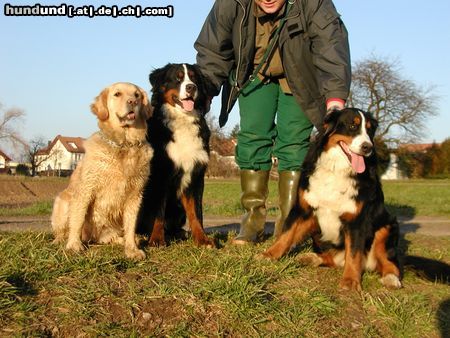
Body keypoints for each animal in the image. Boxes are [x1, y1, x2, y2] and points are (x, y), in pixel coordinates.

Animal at [137, 64, 214, 248]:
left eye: (194, 78)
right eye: (178, 78)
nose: (191, 87)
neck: (183, 120)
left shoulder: (196, 176)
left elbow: (196, 212)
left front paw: (202, 238)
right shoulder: (160, 174)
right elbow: (159, 211)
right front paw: (157, 239)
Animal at [260, 107, 400, 290]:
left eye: (370, 130)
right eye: (352, 126)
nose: (367, 147)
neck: (337, 170)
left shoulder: (356, 220)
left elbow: (353, 253)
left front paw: (350, 281)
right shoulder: (303, 209)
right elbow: (286, 234)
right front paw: (269, 254)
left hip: (386, 227)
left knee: (389, 262)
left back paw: (391, 278)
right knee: (332, 258)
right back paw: (310, 258)